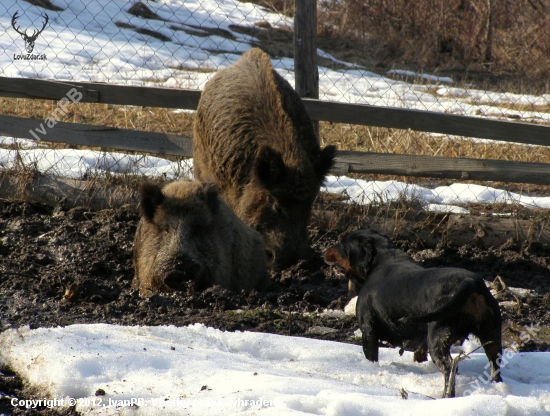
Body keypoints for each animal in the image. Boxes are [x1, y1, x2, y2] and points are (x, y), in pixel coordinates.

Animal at [326, 229, 506, 398]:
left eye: (342, 244)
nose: (325, 251)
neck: (381, 259)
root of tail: (471, 282)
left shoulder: (368, 331)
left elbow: (371, 356)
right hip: (492, 336)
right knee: (494, 364)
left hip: (438, 339)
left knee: (449, 368)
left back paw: (446, 395)